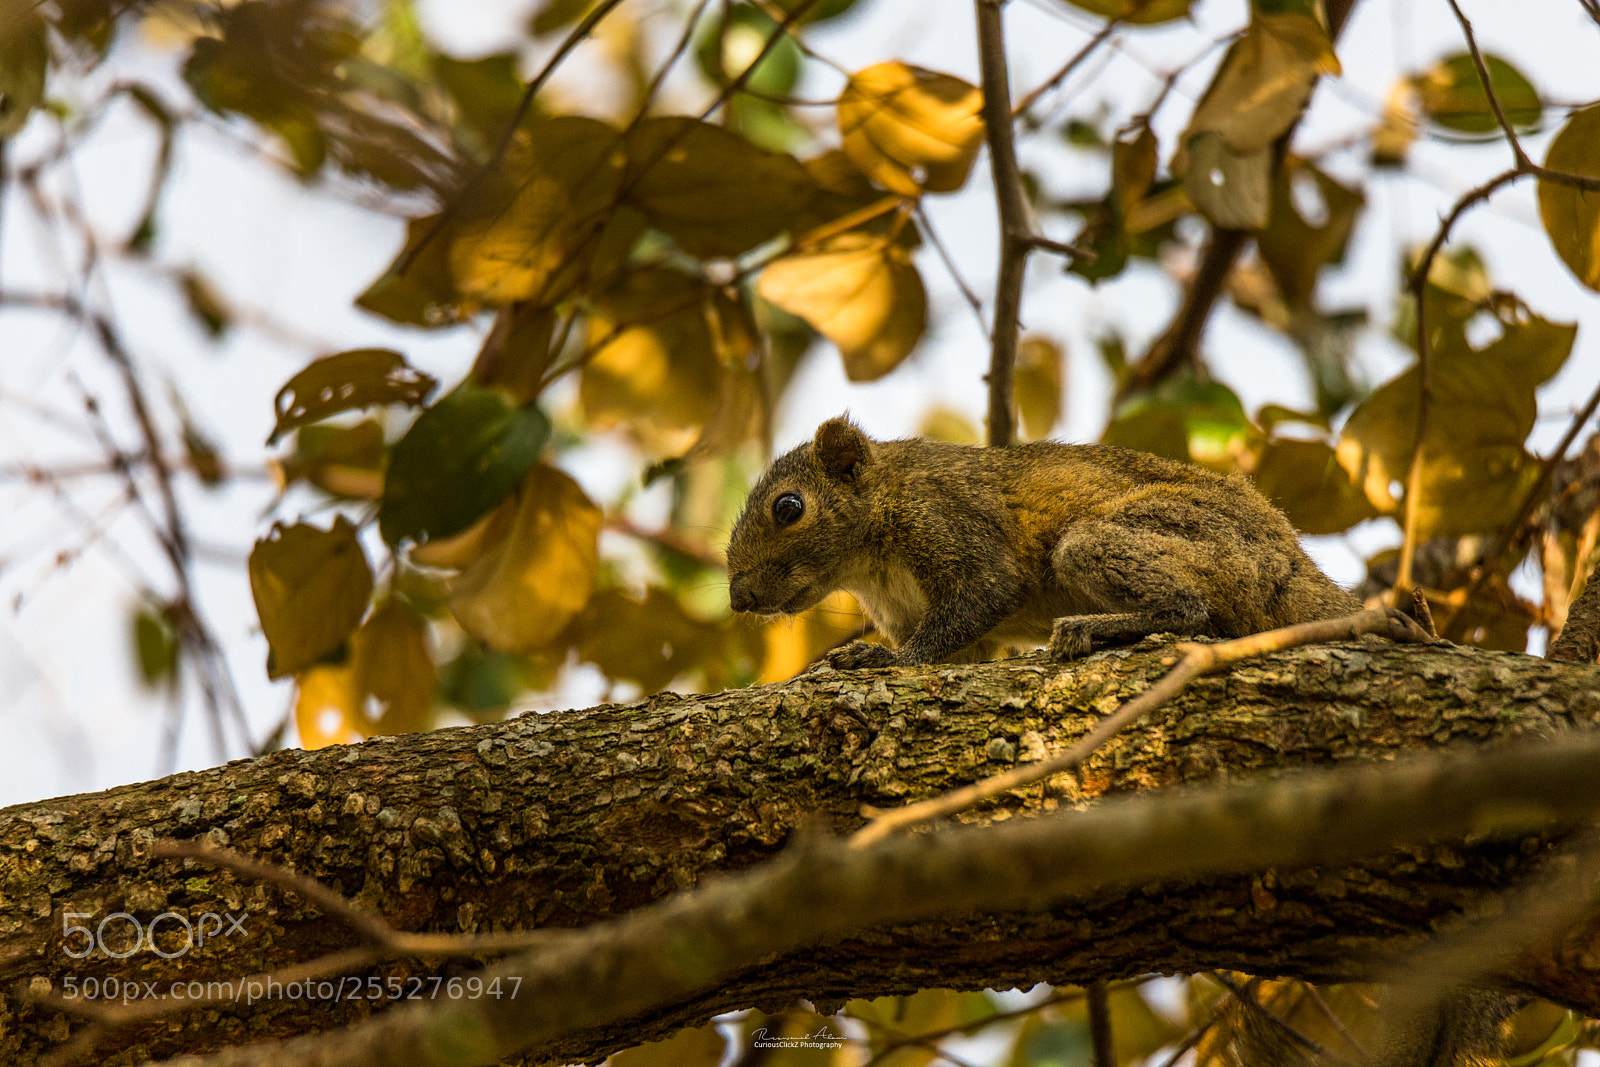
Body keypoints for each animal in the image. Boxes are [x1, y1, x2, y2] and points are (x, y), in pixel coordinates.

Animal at [727, 416, 1361, 667]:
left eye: (788, 508)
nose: (738, 597)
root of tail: (1290, 560)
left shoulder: (950, 520)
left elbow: (985, 592)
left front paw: (881, 660)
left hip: (1133, 540)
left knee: (1191, 610)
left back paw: (1093, 628)